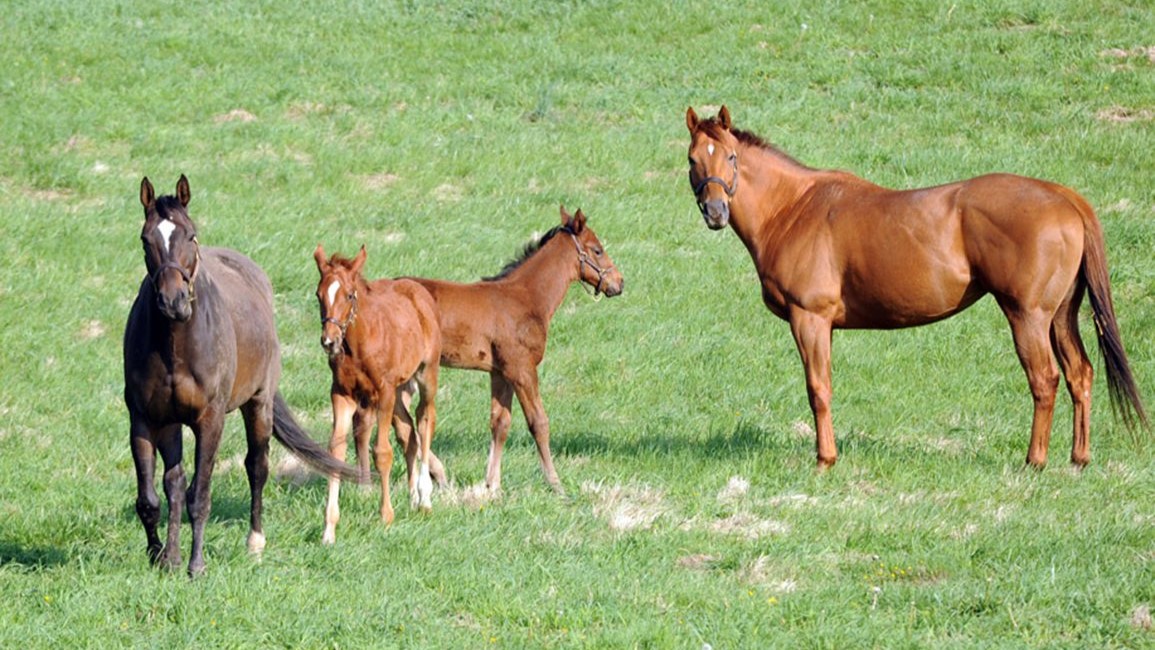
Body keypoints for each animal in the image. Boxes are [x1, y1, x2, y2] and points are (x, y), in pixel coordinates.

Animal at [123, 175, 358, 577]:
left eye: (191, 235)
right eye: (145, 239)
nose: (173, 301)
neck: (175, 344)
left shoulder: (210, 419)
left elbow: (200, 496)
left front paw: (196, 565)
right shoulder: (145, 418)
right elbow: (151, 499)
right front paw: (161, 557)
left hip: (258, 405)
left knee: (257, 468)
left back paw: (255, 543)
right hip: (172, 423)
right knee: (173, 482)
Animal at [311, 244, 441, 544]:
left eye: (349, 294)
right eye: (319, 295)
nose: (329, 341)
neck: (359, 344)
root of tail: (417, 290)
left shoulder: (384, 392)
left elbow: (382, 452)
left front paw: (386, 516)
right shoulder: (342, 394)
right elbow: (335, 452)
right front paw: (328, 529)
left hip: (426, 374)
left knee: (425, 419)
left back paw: (425, 497)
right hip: (399, 390)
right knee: (408, 433)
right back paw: (412, 496)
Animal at [406, 205, 623, 491]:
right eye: (597, 250)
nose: (619, 283)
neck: (525, 298)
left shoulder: (500, 372)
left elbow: (500, 423)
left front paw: (492, 484)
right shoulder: (522, 369)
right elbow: (539, 422)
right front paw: (556, 484)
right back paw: (436, 473)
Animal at [683, 107, 1145, 473]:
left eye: (731, 156)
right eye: (692, 159)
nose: (715, 211)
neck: (794, 208)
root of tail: (1064, 198)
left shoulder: (809, 319)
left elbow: (818, 390)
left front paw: (825, 460)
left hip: (1028, 315)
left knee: (1045, 379)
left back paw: (1035, 461)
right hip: (1061, 315)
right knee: (1079, 374)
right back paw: (1078, 458)